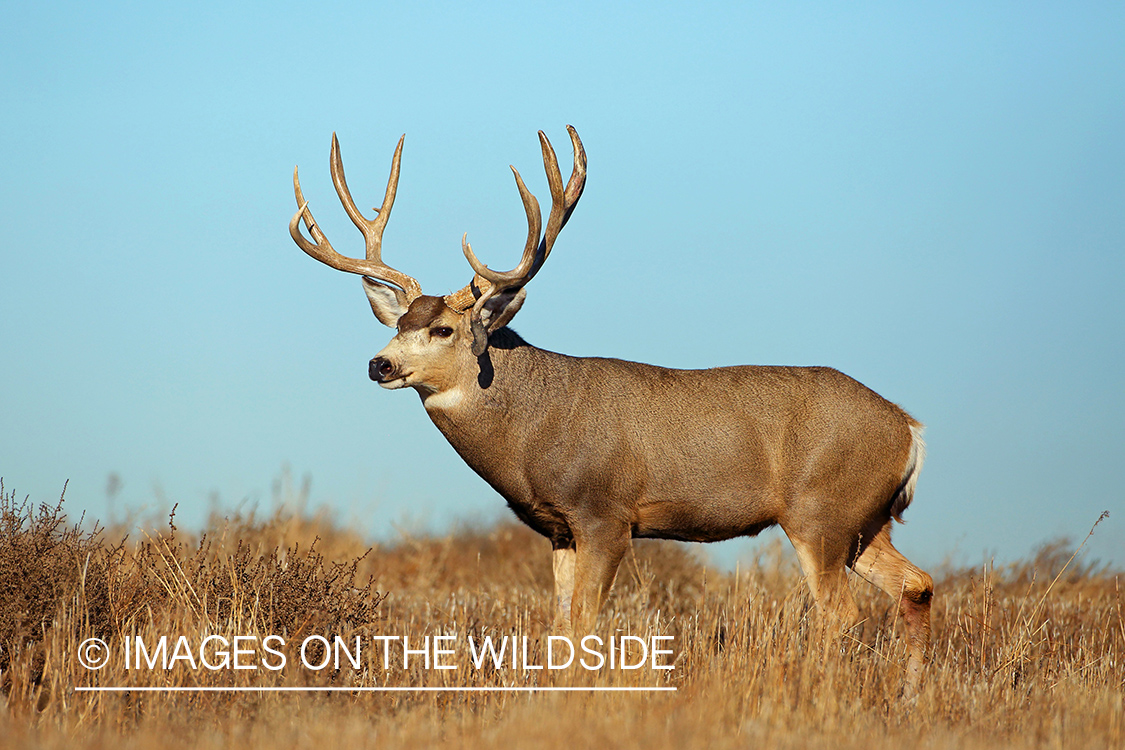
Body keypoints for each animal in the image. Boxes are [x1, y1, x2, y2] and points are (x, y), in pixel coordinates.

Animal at [288, 125, 931, 697]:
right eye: (399, 322)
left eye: (443, 329)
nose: (379, 364)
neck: (533, 429)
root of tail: (910, 427)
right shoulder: (559, 528)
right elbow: (558, 628)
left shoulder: (605, 515)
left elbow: (584, 626)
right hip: (864, 519)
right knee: (916, 585)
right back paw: (910, 694)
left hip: (819, 513)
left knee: (842, 614)